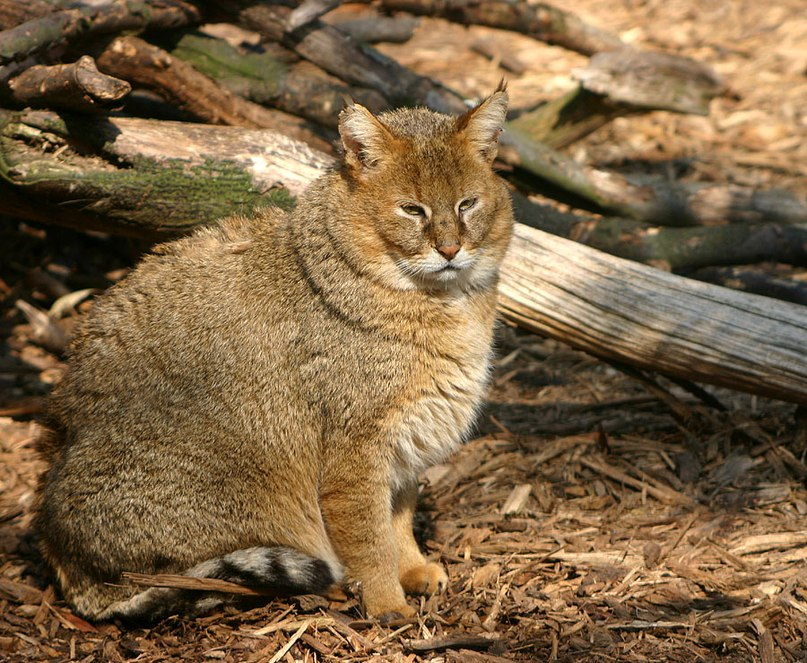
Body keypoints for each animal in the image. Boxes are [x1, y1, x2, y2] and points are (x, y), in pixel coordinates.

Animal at [34, 85, 516, 624]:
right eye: (412, 210)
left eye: (467, 204)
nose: (451, 250)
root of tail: (62, 561)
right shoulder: (356, 454)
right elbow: (370, 542)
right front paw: (388, 605)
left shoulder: (407, 444)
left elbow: (399, 519)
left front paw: (411, 569)